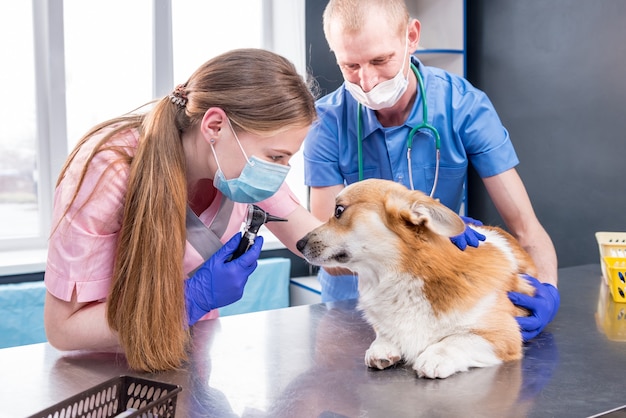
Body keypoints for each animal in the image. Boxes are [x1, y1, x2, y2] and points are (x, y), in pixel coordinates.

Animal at [294, 179, 532, 378]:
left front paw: (434, 356)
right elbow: (384, 333)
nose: (298, 244)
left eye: (339, 210)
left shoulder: (503, 335)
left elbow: (456, 340)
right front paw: (382, 348)